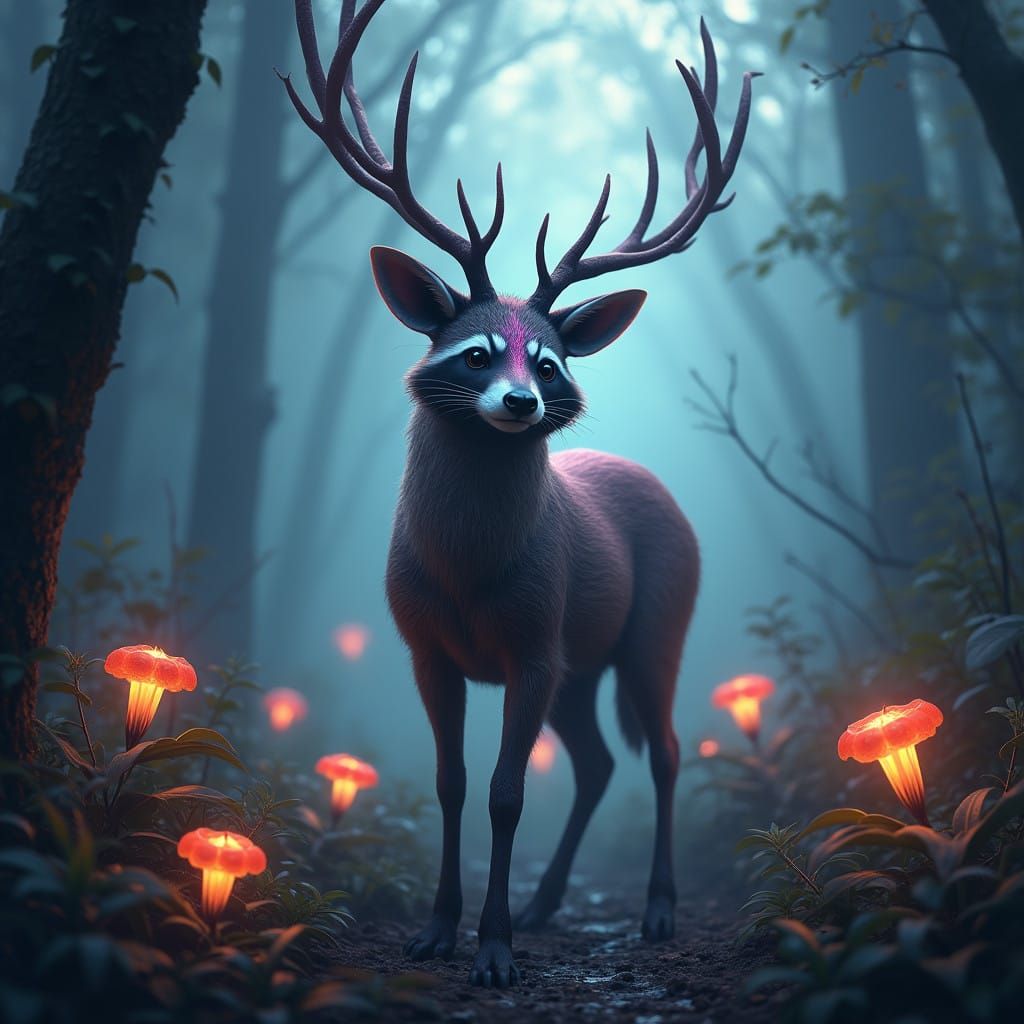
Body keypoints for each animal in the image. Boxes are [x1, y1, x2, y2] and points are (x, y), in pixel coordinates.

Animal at [282, 0, 755, 988]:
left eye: (548, 359)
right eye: (473, 352)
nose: (520, 401)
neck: (467, 577)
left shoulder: (535, 643)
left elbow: (506, 792)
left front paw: (493, 949)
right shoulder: (426, 646)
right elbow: (452, 784)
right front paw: (439, 930)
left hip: (656, 625)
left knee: (663, 752)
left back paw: (656, 910)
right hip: (582, 667)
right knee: (599, 762)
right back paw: (546, 905)